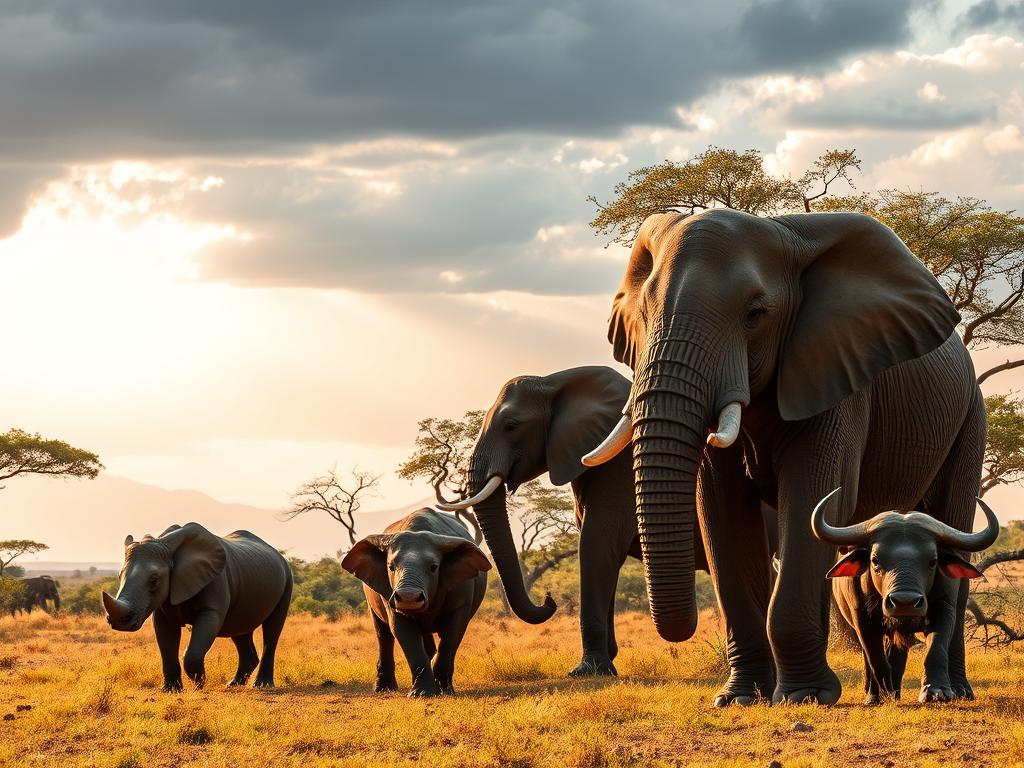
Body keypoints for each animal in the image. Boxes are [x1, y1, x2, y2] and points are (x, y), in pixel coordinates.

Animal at [102, 523, 292, 691]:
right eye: (119, 576)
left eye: (154, 580)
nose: (121, 623)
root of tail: (278, 555)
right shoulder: (163, 609)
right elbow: (166, 644)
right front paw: (170, 690)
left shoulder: (211, 607)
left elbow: (193, 650)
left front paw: (198, 683)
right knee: (240, 629)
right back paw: (233, 684)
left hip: (287, 574)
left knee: (272, 629)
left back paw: (261, 685)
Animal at [342, 508, 490, 697]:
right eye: (390, 567)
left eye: (434, 567)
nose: (408, 597)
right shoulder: (389, 593)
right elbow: (404, 632)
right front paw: (422, 693)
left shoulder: (461, 593)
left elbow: (452, 633)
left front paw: (444, 691)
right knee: (383, 635)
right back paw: (383, 688)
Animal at [437, 365, 710, 677]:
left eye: (511, 425)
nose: (549, 597)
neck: (555, 381)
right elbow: (605, 554)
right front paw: (606, 662)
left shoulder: (619, 469)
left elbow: (596, 542)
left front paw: (588, 670)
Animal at [814, 490, 999, 704]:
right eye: (875, 560)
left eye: (933, 561)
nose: (905, 602)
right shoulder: (862, 618)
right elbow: (875, 657)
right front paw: (881, 692)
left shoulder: (944, 608)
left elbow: (936, 649)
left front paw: (937, 691)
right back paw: (876, 694)